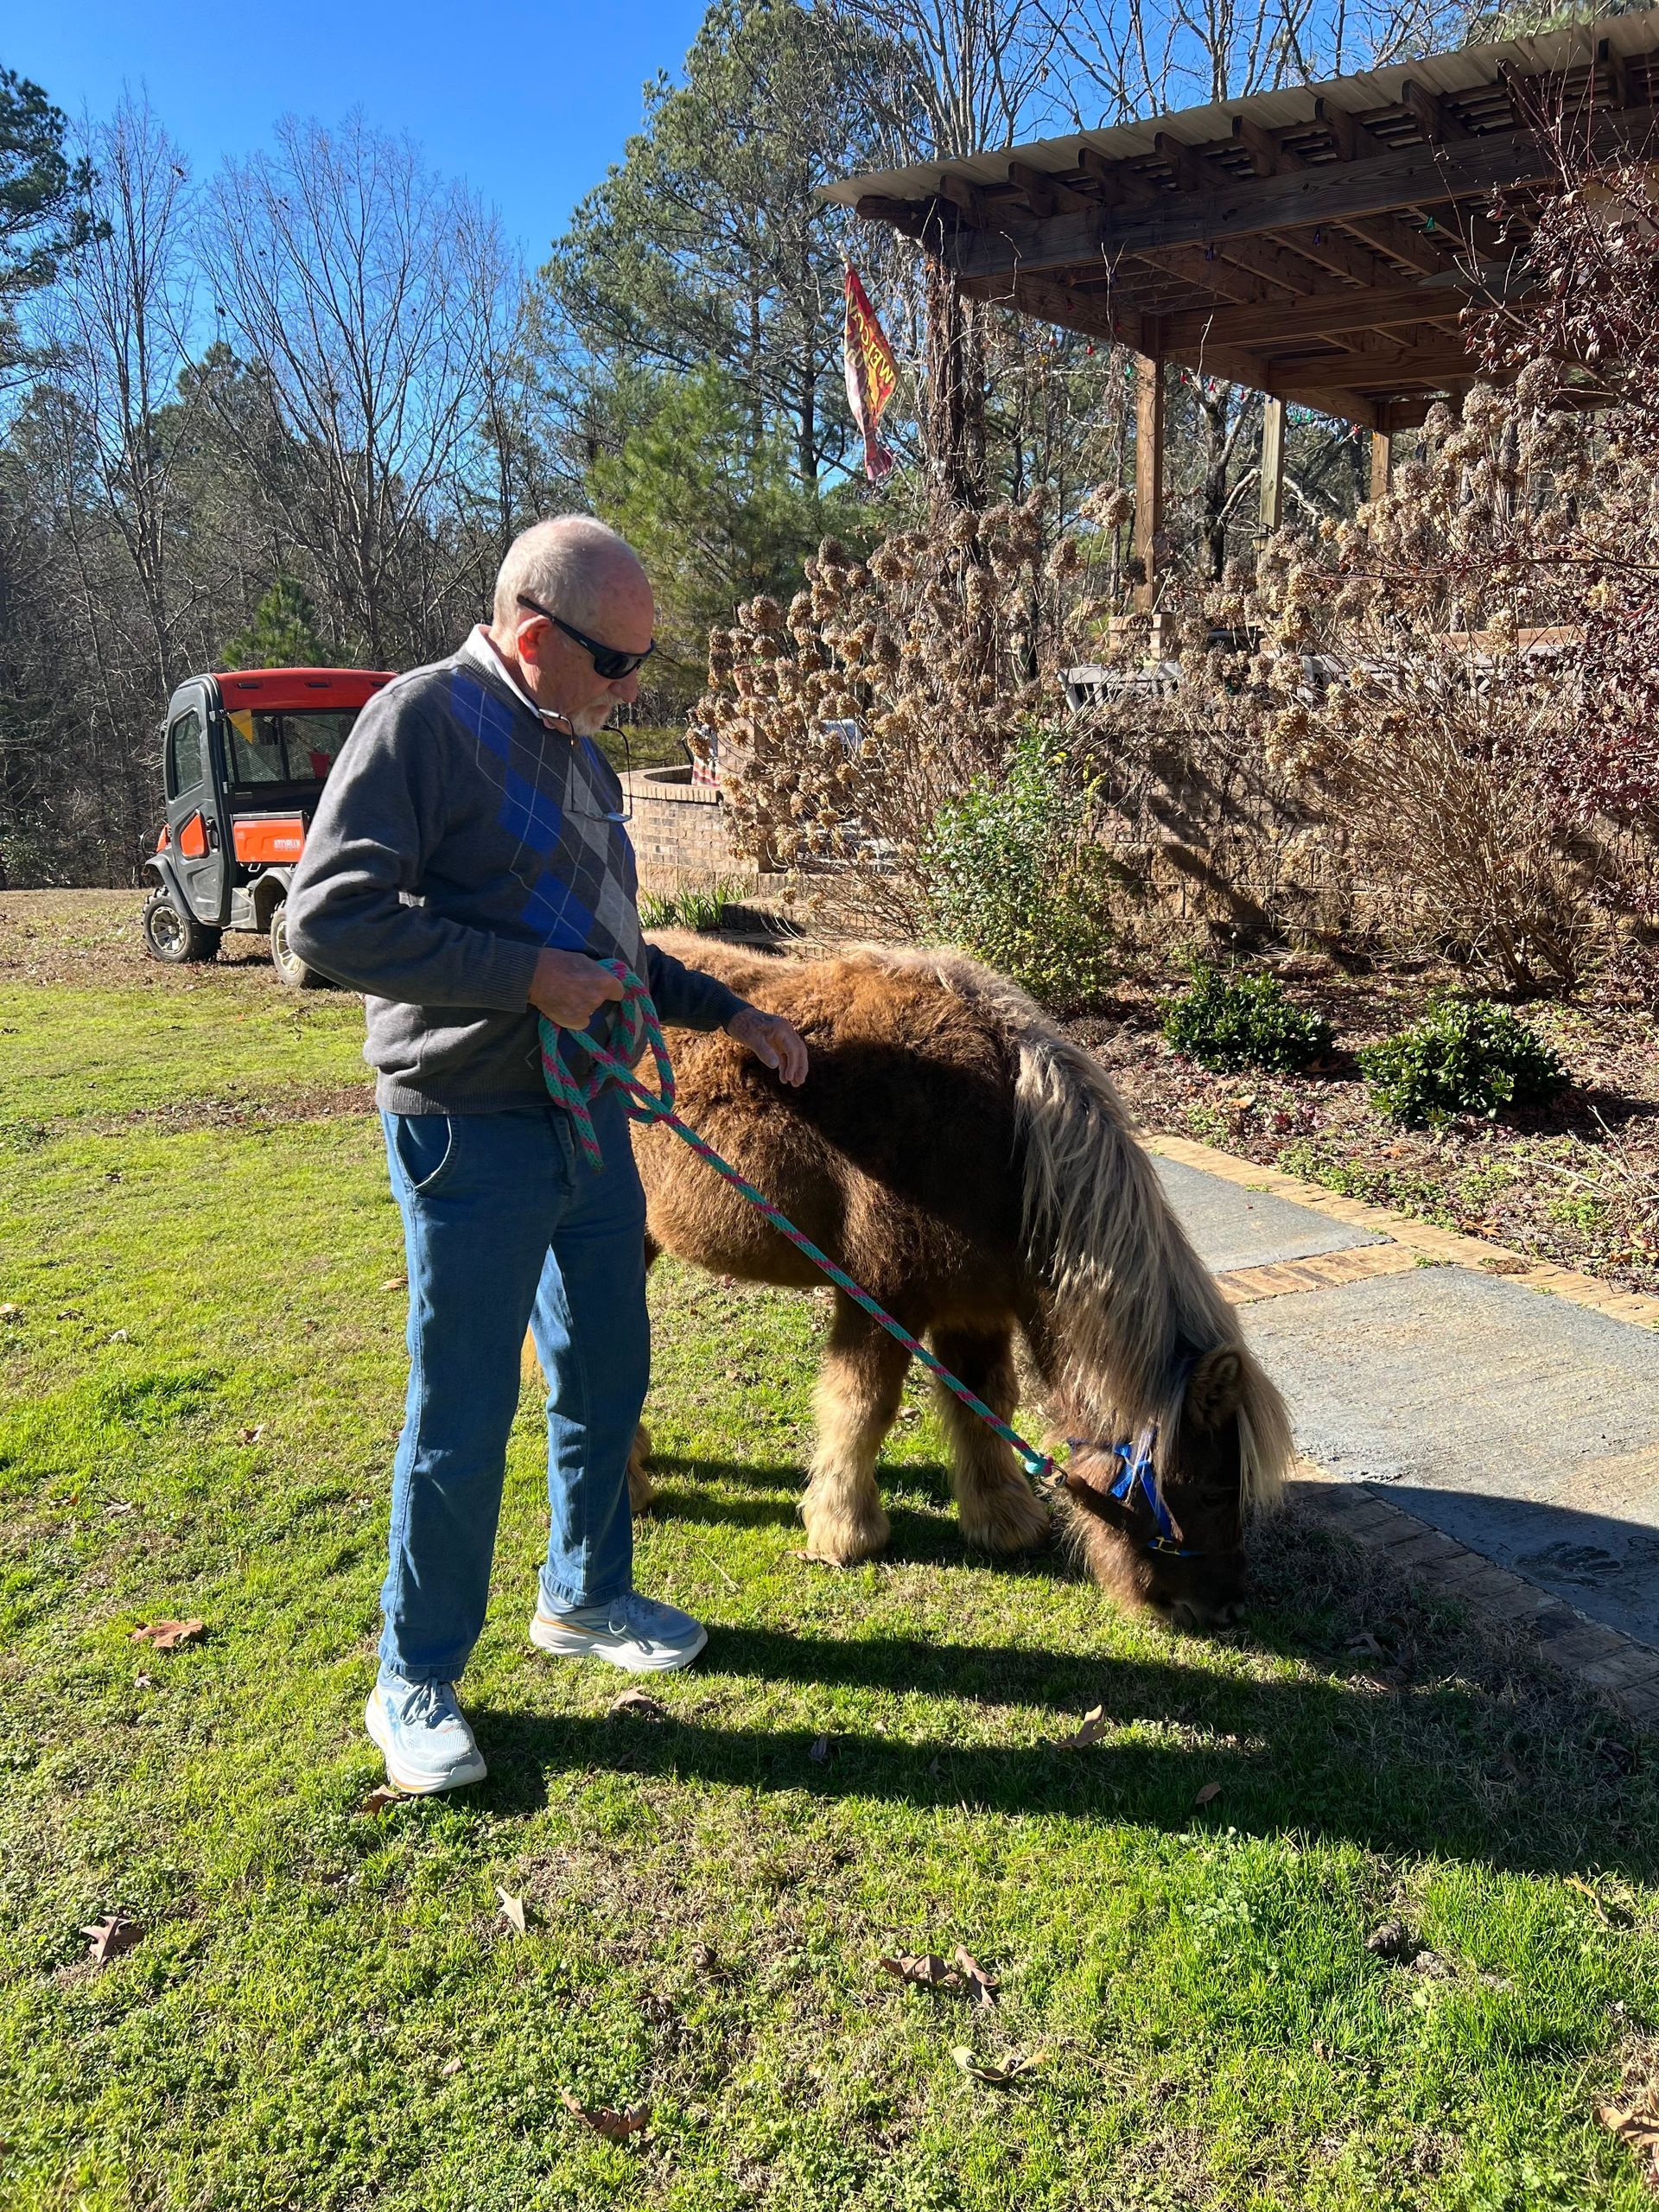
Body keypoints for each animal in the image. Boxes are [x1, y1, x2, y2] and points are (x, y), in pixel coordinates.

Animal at [625, 933, 1295, 1630]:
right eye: (1213, 1491)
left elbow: (986, 1402)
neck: (1002, 1146)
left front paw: (1002, 1517)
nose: (1223, 1607)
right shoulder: (882, 1297)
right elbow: (862, 1407)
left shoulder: (975, 1306)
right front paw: (844, 1530)